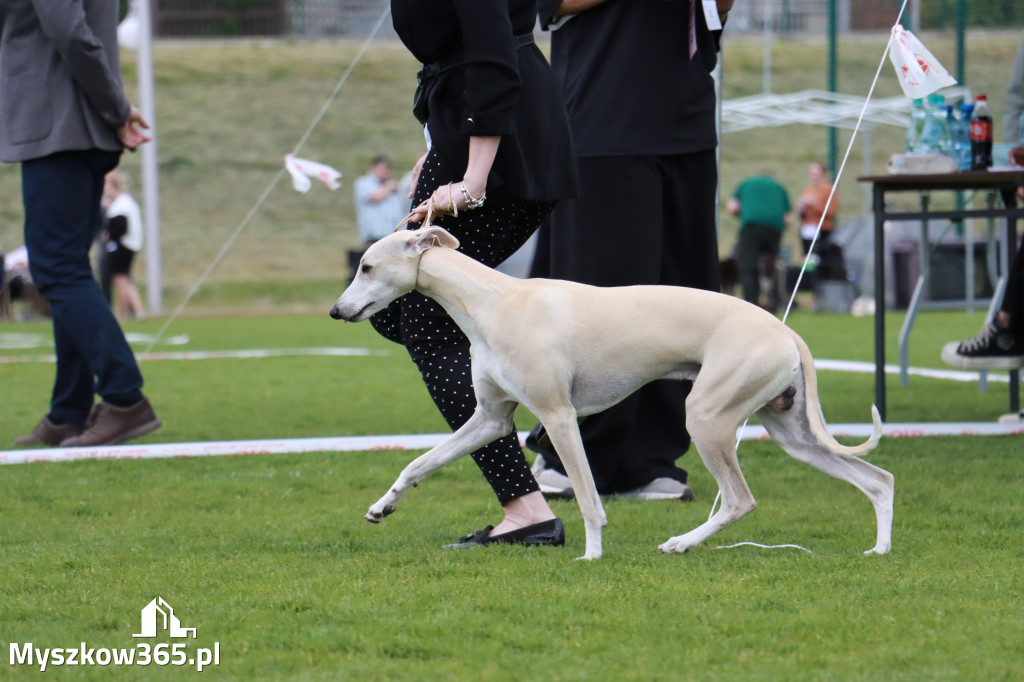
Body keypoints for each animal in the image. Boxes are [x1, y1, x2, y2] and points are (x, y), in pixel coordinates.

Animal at [331, 225, 892, 561]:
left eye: (367, 266)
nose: (337, 311)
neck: (494, 301)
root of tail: (785, 332)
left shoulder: (558, 416)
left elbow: (588, 498)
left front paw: (592, 553)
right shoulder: (490, 419)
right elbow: (419, 462)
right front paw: (383, 506)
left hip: (707, 418)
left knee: (740, 500)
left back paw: (681, 543)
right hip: (792, 432)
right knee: (879, 480)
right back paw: (881, 549)